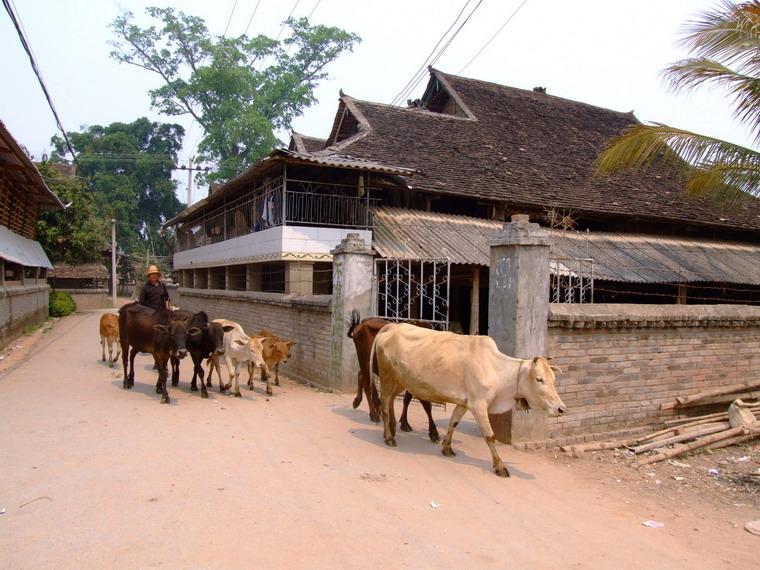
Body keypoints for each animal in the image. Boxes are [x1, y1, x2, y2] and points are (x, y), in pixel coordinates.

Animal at [344, 310, 440, 440]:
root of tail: (361, 323)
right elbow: (426, 404)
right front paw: (433, 432)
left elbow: (407, 399)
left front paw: (404, 423)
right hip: (364, 362)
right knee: (367, 386)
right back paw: (373, 414)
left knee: (362, 378)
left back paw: (360, 402)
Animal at [368, 322, 564, 478]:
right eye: (539, 379)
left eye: (554, 378)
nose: (561, 408)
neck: (496, 370)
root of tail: (393, 326)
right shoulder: (479, 405)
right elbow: (490, 436)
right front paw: (500, 467)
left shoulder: (464, 403)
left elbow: (453, 422)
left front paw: (447, 448)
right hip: (387, 376)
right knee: (384, 404)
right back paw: (389, 437)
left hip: (400, 380)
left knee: (390, 402)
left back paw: (392, 430)